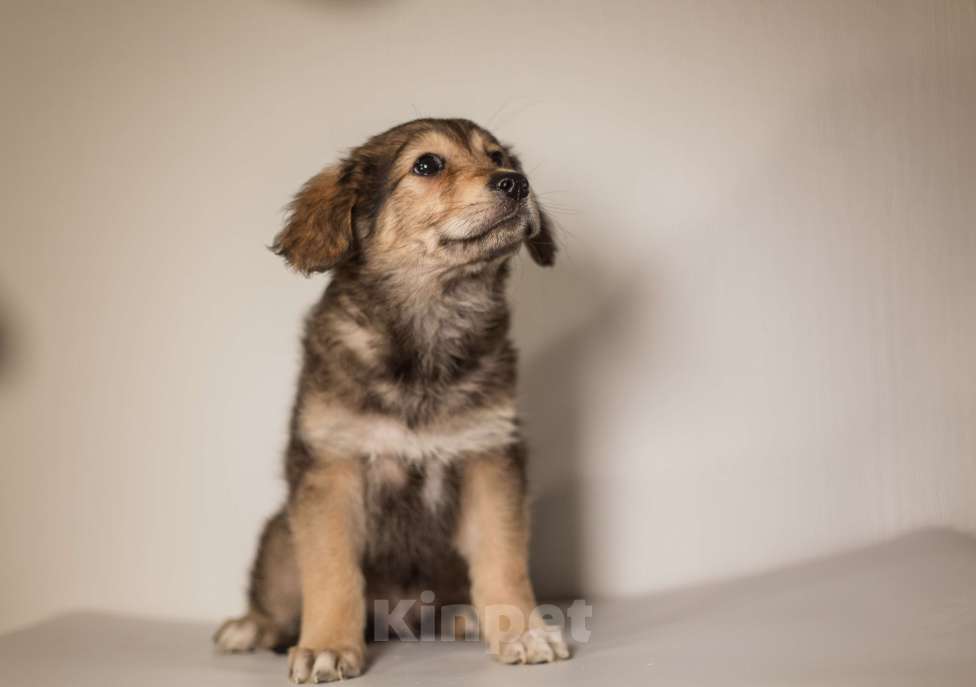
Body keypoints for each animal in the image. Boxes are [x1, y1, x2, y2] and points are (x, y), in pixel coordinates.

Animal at [214, 118, 564, 684]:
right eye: (427, 164)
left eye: (498, 157)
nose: (517, 183)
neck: (426, 333)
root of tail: (400, 617)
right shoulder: (330, 468)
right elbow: (331, 571)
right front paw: (328, 646)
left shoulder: (490, 458)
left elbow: (503, 558)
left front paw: (521, 630)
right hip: (280, 534)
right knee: (281, 595)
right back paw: (254, 626)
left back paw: (466, 616)